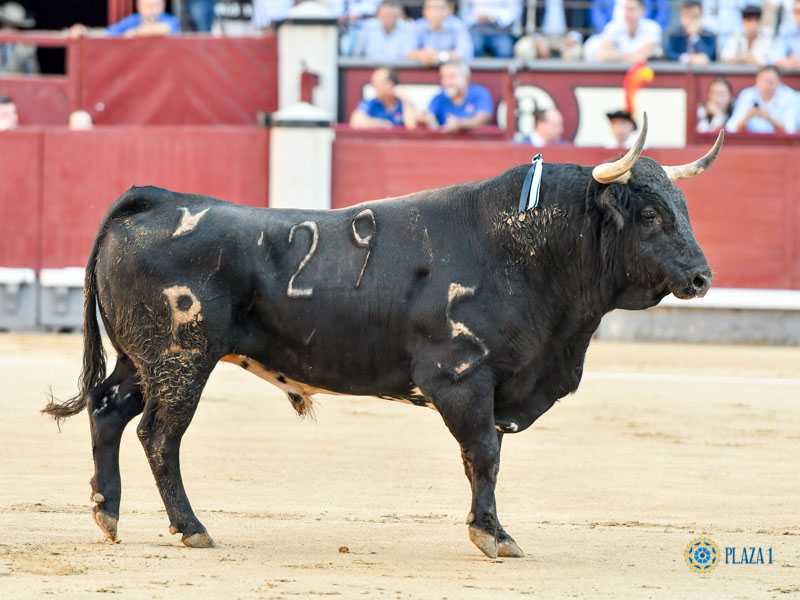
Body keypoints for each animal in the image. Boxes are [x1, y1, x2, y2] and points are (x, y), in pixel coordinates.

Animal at [43, 125, 720, 556]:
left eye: (685, 208)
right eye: (650, 215)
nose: (701, 277)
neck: (525, 251)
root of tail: (154, 199)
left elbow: (486, 456)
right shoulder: (461, 377)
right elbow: (484, 454)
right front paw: (494, 536)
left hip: (141, 359)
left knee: (107, 411)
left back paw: (108, 513)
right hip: (182, 357)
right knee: (160, 435)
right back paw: (191, 529)